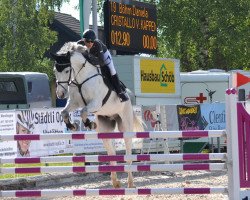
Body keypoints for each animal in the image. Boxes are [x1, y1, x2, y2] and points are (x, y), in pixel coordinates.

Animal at [50, 41, 145, 188]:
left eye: (66, 71)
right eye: (55, 70)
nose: (60, 94)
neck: (81, 78)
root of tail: (129, 97)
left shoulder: (95, 103)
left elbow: (83, 111)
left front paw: (89, 124)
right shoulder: (74, 102)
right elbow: (64, 112)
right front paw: (72, 126)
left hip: (125, 124)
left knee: (128, 151)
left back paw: (130, 183)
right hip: (105, 128)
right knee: (111, 152)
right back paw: (115, 182)